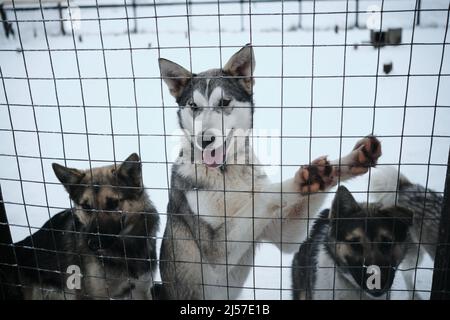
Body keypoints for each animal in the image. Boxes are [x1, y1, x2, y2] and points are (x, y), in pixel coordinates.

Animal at [158, 43, 384, 298]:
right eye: (194, 106)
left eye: (224, 102)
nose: (205, 140)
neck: (226, 173)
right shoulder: (217, 250)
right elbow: (264, 195)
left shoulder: (281, 233)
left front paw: (339, 165)